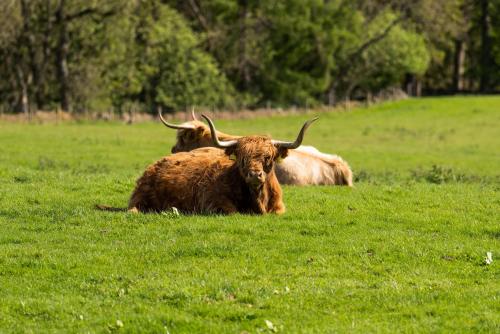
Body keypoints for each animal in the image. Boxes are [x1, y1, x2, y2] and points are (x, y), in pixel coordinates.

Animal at [128, 115, 316, 214]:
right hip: (140, 196)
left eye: (268, 157)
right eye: (241, 157)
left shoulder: (279, 207)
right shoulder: (214, 202)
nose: (255, 175)